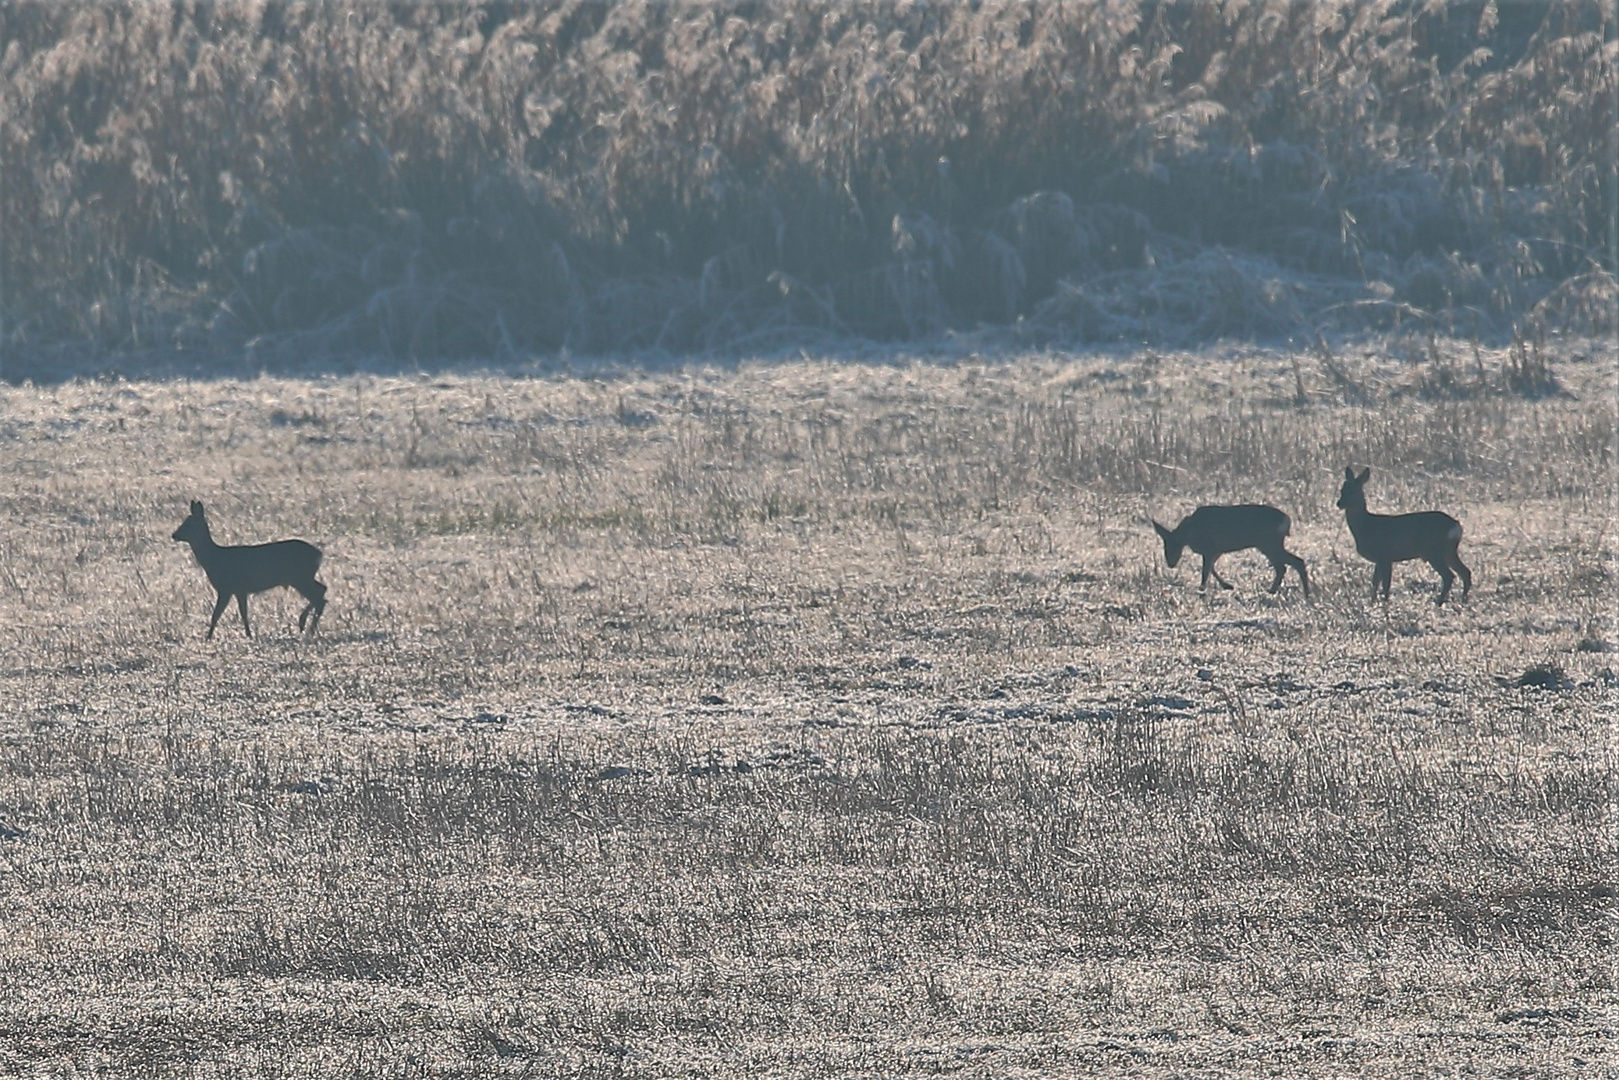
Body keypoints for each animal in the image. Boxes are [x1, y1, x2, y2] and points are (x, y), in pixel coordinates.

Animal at [172, 501, 327, 637]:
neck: (214, 559)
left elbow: (216, 614)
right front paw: (248, 634)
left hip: (300, 577)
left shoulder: (227, 588)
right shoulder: (240, 590)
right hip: (303, 577)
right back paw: (307, 626)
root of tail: (319, 554)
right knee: (322, 591)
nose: (174, 535)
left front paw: (208, 637)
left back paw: (305, 626)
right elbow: (243, 613)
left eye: (190, 524)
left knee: (319, 596)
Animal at [1152, 508, 1301, 599]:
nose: (1170, 564)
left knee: (1290, 563)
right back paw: (1273, 590)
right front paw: (1227, 586)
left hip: (1269, 543)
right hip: (1269, 545)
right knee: (1284, 566)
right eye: (1164, 546)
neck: (1189, 532)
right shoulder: (1216, 550)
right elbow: (1211, 569)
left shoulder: (1209, 548)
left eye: (1173, 545)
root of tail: (1287, 520)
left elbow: (1205, 572)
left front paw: (1202, 592)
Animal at [1340, 466, 1470, 605]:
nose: (1339, 503)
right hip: (1448, 551)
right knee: (1465, 572)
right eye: (1341, 490)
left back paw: (1439, 602)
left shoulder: (1385, 556)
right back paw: (1463, 600)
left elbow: (1385, 585)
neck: (1366, 526)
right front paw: (1373, 603)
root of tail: (1456, 525)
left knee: (1449, 576)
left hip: (1434, 551)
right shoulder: (1380, 559)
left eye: (1352, 491)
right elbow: (1375, 582)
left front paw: (1384, 604)